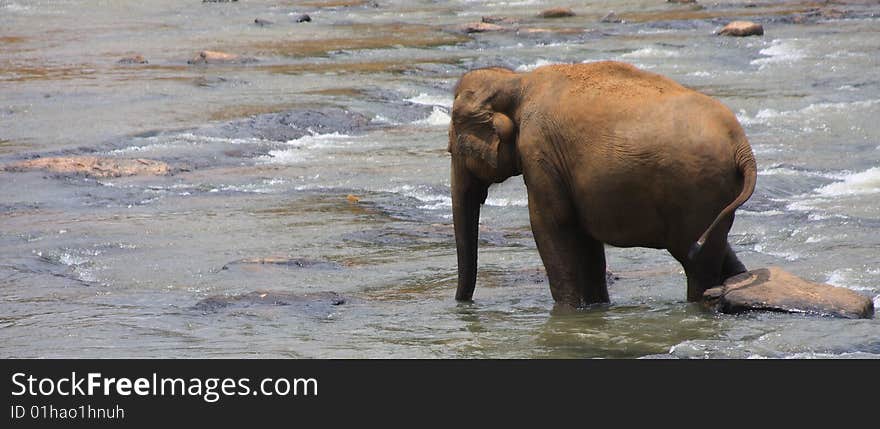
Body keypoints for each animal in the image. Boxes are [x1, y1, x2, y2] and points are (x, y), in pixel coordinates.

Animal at [446, 60, 756, 308]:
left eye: (452, 149)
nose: (462, 305)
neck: (517, 82)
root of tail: (742, 147)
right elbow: (586, 240)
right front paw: (595, 307)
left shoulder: (539, 150)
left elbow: (551, 224)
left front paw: (568, 311)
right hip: (714, 198)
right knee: (715, 248)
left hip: (695, 192)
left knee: (696, 262)